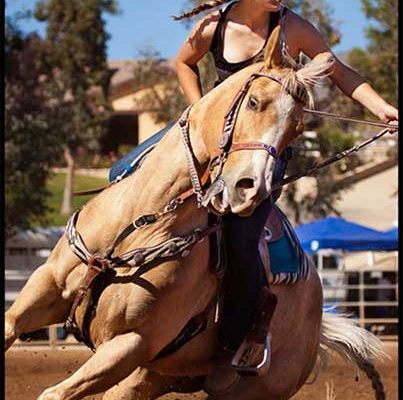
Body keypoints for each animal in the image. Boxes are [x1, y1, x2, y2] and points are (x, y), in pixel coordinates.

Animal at [4, 28, 386, 400]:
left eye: (297, 128)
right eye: (254, 101)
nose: (251, 188)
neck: (140, 222)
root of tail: (317, 320)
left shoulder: (131, 344)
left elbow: (54, 393)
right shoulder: (45, 288)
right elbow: (12, 327)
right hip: (154, 375)